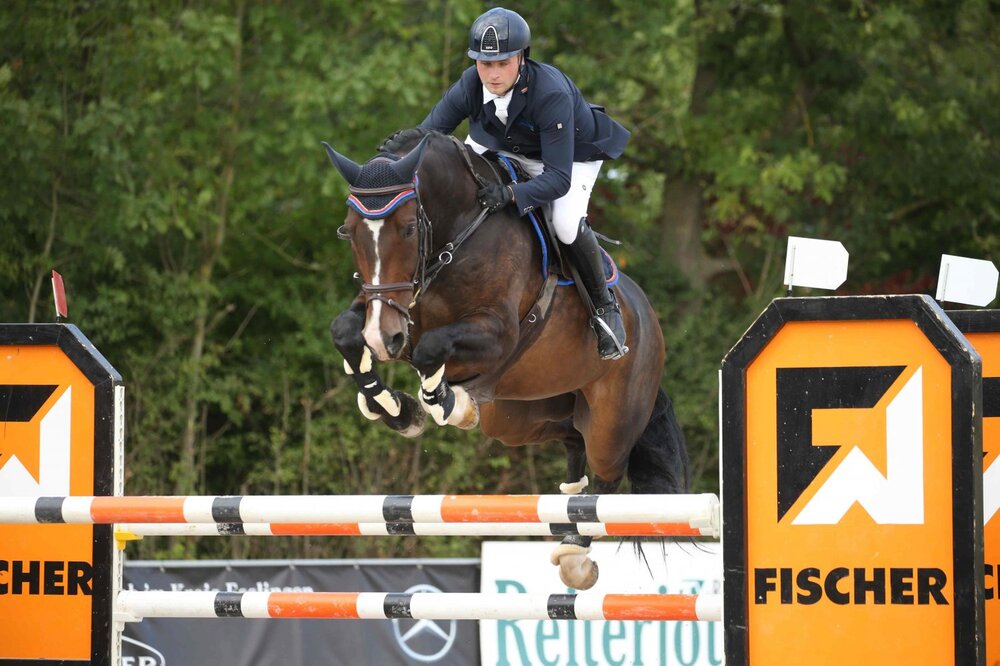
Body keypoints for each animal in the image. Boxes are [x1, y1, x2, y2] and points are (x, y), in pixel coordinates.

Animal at [322, 128, 689, 589]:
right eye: (349, 232)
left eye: (407, 229)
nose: (382, 338)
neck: (454, 236)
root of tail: (647, 317)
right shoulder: (394, 314)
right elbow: (345, 332)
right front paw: (397, 410)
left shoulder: (496, 333)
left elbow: (431, 350)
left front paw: (448, 403)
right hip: (521, 416)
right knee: (572, 437)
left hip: (612, 420)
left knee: (606, 475)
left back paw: (575, 554)